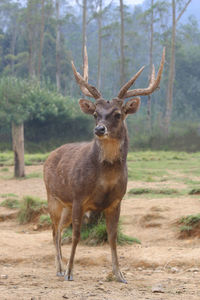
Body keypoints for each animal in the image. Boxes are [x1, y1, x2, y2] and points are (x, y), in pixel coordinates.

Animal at [43, 47, 165, 284]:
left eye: (118, 114)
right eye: (95, 114)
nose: (99, 129)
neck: (105, 180)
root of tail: (49, 156)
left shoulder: (116, 201)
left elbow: (112, 237)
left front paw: (120, 274)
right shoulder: (79, 196)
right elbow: (77, 235)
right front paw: (70, 272)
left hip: (65, 205)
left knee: (59, 229)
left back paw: (60, 266)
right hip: (52, 196)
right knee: (53, 230)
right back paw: (60, 268)